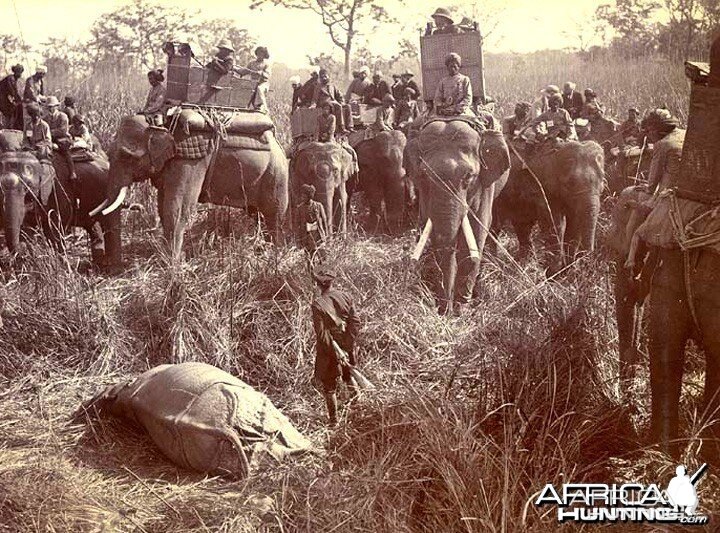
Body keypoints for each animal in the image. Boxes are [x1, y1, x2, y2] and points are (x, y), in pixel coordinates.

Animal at [0, 129, 121, 266]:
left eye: (28, 186)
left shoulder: (57, 188)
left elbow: (55, 227)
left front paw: (60, 265)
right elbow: (27, 227)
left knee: (110, 224)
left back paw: (110, 266)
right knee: (93, 225)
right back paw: (98, 264)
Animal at [94, 111, 288, 258]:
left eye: (127, 156)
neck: (162, 123)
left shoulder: (190, 161)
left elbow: (177, 209)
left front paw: (171, 265)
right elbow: (163, 206)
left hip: (275, 176)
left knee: (274, 214)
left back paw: (276, 253)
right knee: (257, 214)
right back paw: (263, 248)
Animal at [404, 118, 512, 314]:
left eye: (469, 176)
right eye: (424, 175)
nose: (444, 311)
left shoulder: (484, 183)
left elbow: (476, 233)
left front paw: (462, 308)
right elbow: (433, 231)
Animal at [492, 139, 604, 272]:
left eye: (603, 180)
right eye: (571, 183)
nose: (586, 263)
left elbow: (573, 223)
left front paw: (567, 270)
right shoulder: (541, 188)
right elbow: (555, 224)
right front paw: (554, 272)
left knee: (522, 226)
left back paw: (522, 264)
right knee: (495, 226)